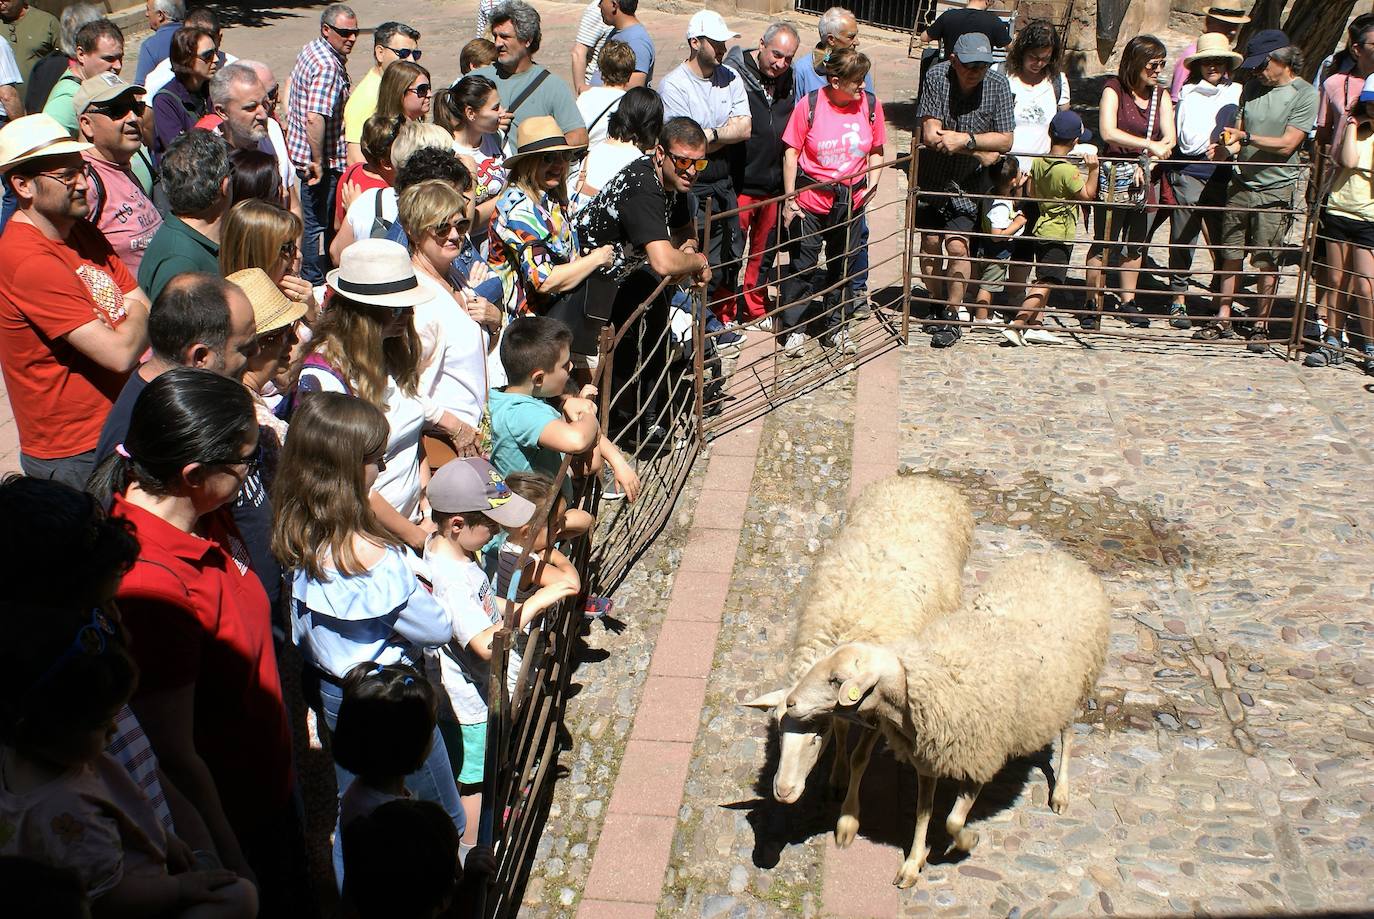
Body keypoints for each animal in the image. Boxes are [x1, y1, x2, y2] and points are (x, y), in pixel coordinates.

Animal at [741, 472, 978, 846]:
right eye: (778, 729)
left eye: (816, 734)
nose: (784, 792)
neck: (840, 638)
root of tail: (922, 480)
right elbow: (843, 730)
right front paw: (836, 777)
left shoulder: (878, 711)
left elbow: (860, 757)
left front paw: (847, 820)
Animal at [780, 549, 1110, 884]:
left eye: (836, 680)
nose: (791, 702)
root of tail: (1060, 557)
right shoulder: (928, 758)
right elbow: (922, 813)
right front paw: (914, 862)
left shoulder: (979, 760)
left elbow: (952, 820)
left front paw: (967, 841)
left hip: (1075, 689)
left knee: (1068, 736)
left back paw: (1061, 793)